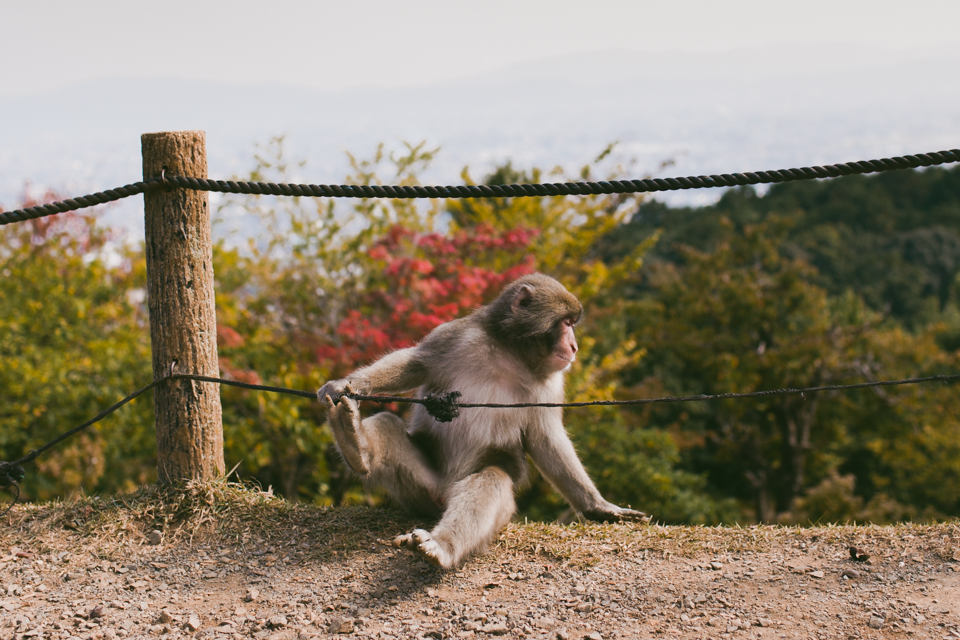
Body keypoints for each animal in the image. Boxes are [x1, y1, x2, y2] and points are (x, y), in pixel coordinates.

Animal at [318, 272, 648, 568]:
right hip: (419, 488)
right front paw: (346, 384)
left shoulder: (551, 386)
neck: (511, 354)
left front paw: (597, 506)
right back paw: (356, 449)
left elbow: (546, 440)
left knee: (492, 479)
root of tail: (443, 492)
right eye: (567, 324)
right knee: (388, 425)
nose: (574, 346)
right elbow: (416, 363)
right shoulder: (455, 335)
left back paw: (442, 546)